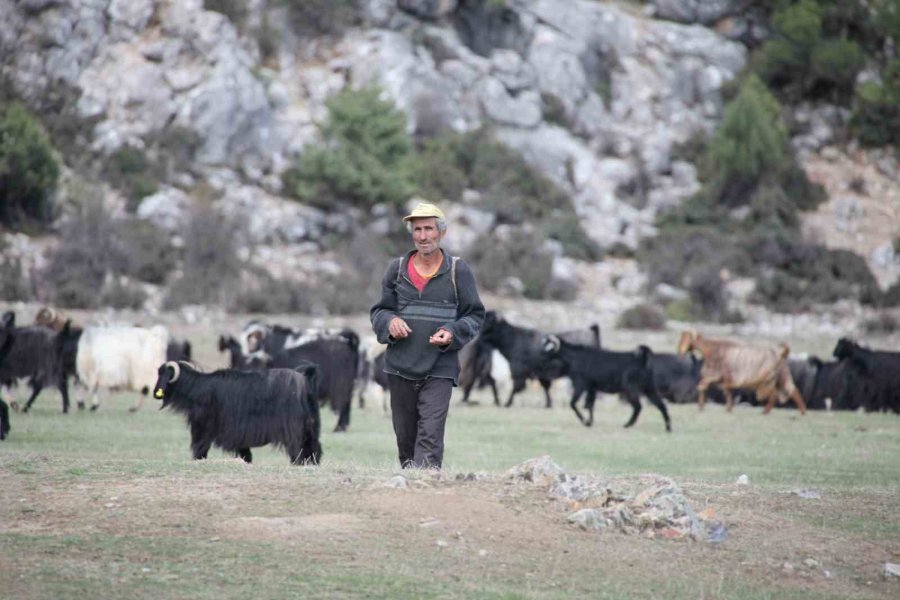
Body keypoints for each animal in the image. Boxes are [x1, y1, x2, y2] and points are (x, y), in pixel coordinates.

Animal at [155, 360, 324, 464]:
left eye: (162, 374)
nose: (156, 392)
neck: (197, 388)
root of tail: (306, 382)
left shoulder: (204, 430)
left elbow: (199, 451)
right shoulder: (239, 437)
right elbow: (245, 454)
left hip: (294, 430)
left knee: (298, 449)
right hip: (311, 428)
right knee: (314, 448)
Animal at [536, 338, 672, 432]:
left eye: (549, 347)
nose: (540, 355)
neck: (576, 357)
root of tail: (641, 359)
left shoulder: (580, 384)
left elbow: (573, 403)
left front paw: (584, 421)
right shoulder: (592, 388)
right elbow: (590, 405)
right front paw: (589, 422)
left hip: (631, 388)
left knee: (638, 406)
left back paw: (627, 425)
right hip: (649, 388)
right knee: (661, 405)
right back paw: (668, 428)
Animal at [676, 330, 808, 414]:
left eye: (684, 338)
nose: (679, 351)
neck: (711, 349)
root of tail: (781, 353)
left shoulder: (715, 375)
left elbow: (703, 386)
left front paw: (701, 407)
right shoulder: (724, 378)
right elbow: (726, 391)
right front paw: (728, 408)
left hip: (768, 378)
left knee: (775, 393)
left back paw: (766, 411)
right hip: (782, 376)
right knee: (792, 390)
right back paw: (802, 411)